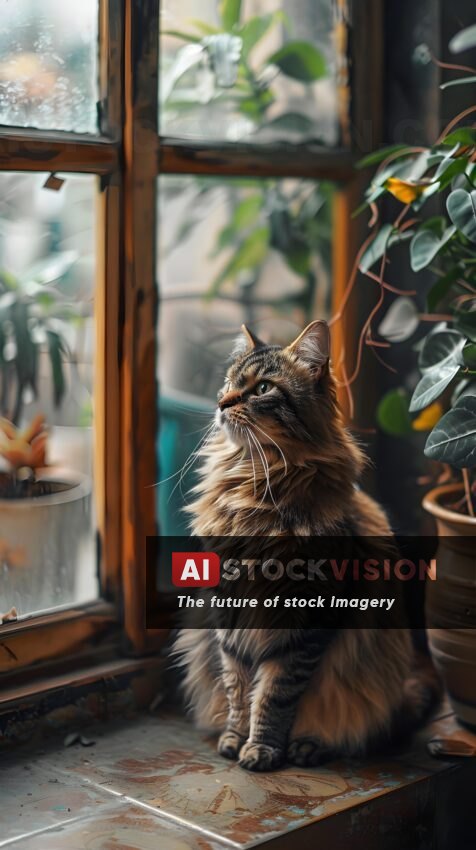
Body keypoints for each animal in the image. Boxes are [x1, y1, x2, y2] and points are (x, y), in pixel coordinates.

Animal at [173, 318, 440, 768]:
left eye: (262, 388)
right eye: (228, 382)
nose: (222, 403)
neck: (255, 488)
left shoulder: (305, 623)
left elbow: (273, 695)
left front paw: (261, 749)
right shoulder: (230, 615)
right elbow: (237, 688)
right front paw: (234, 738)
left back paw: (307, 747)